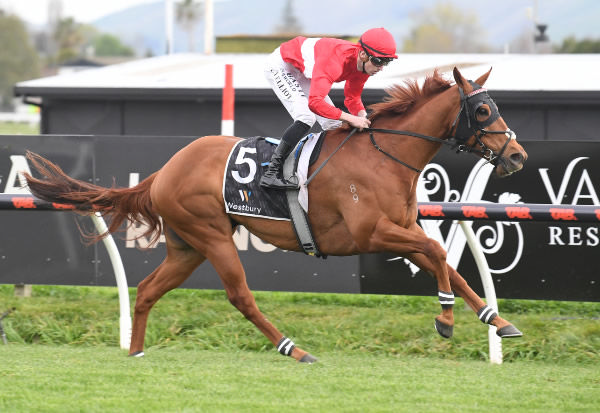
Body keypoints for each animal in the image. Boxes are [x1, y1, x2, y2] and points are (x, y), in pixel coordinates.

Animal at [25, 67, 528, 360]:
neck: (383, 156)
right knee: (240, 296)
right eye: (484, 110)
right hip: (213, 237)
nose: (518, 156)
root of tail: (164, 171)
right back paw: (294, 348)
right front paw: (445, 320)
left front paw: (498, 321)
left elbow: (447, 264)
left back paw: (135, 352)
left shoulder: (400, 227)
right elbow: (438, 255)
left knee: (148, 289)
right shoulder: (372, 232)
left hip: (187, 246)